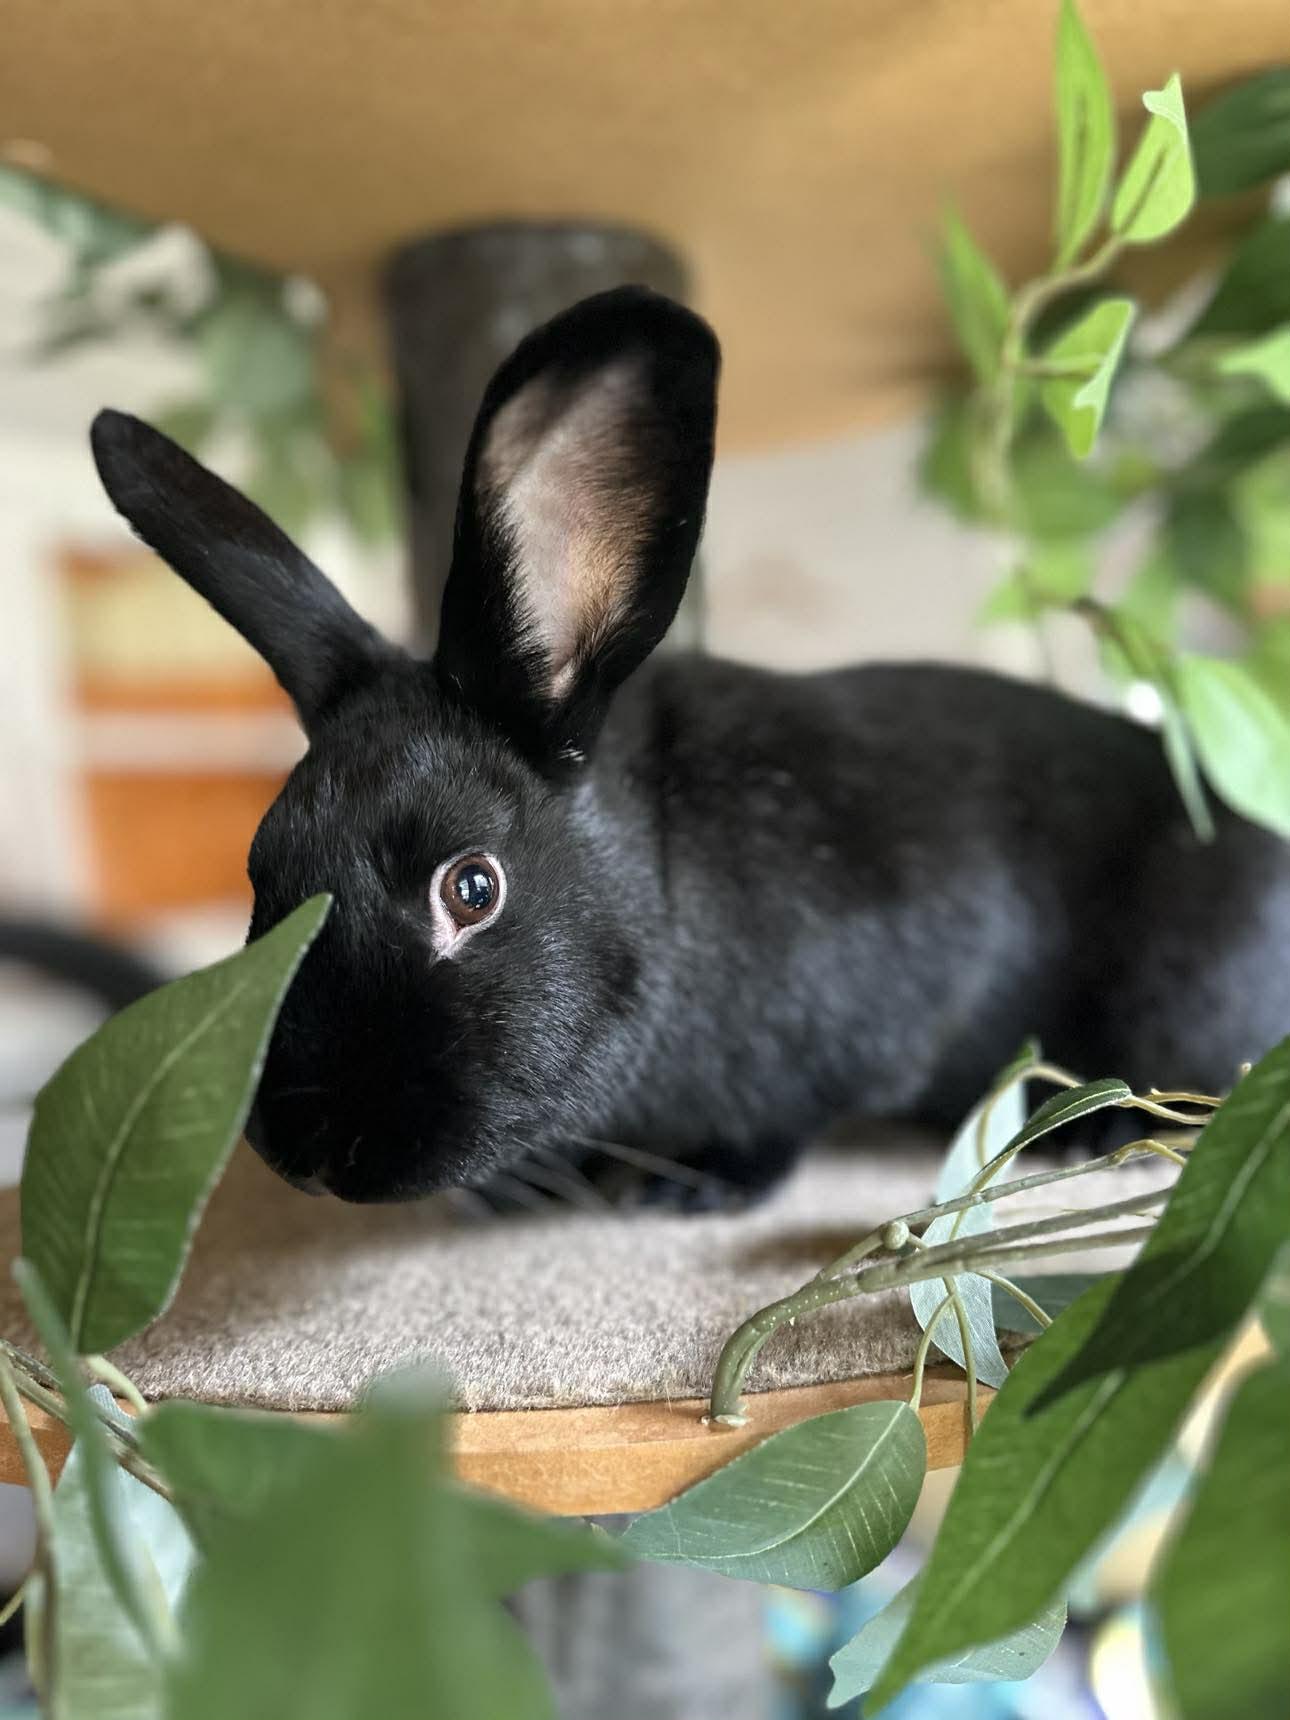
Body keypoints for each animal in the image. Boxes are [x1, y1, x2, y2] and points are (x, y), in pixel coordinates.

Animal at [89, 286, 1290, 1208]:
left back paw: (1091, 1128)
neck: (658, 885)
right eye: (261, 872)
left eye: (472, 887)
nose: (312, 1155)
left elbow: (780, 1124)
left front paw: (688, 1189)